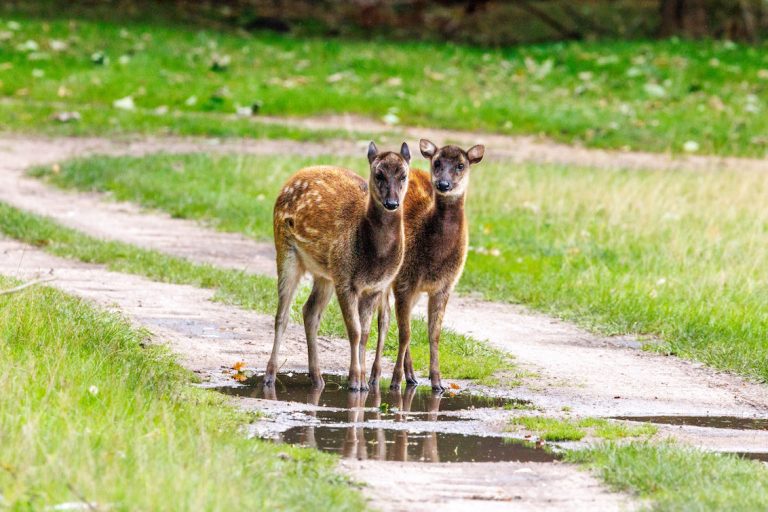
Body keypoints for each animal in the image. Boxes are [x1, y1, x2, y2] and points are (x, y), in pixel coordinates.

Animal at [264, 141, 411, 392]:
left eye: (403, 175)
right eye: (378, 174)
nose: (392, 203)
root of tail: (291, 179)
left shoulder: (374, 287)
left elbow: (365, 332)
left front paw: (364, 381)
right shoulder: (345, 280)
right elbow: (354, 331)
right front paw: (355, 380)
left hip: (325, 272)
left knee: (310, 311)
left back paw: (317, 377)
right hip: (286, 249)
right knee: (282, 315)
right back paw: (270, 376)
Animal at [369, 139, 485, 392]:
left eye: (461, 165)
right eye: (437, 162)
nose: (443, 184)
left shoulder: (445, 286)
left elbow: (434, 334)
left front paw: (438, 382)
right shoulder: (405, 280)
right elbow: (405, 333)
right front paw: (394, 381)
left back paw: (411, 377)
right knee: (385, 321)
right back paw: (376, 377)